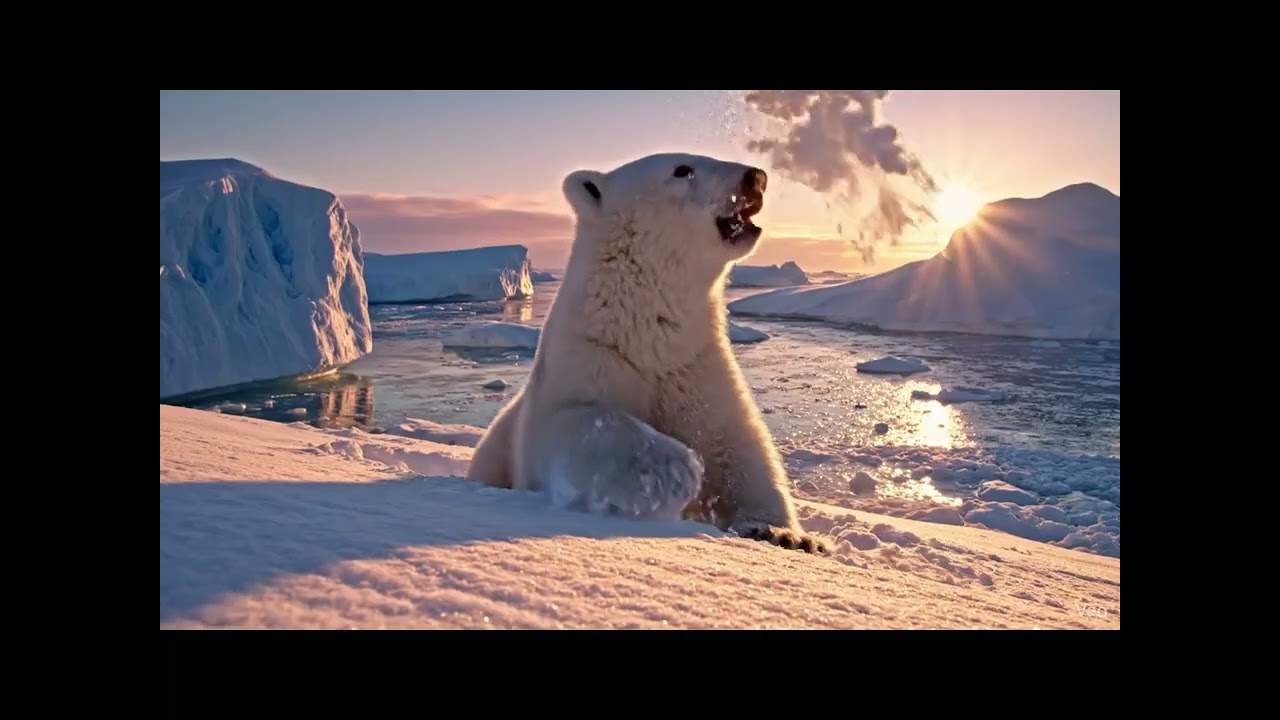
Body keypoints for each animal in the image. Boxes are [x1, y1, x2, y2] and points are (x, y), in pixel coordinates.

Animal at [466, 152, 827, 554]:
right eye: (682, 169)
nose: (756, 178)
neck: (645, 333)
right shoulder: (588, 361)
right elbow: (580, 422)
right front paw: (676, 470)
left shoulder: (698, 366)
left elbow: (742, 446)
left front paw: (786, 534)